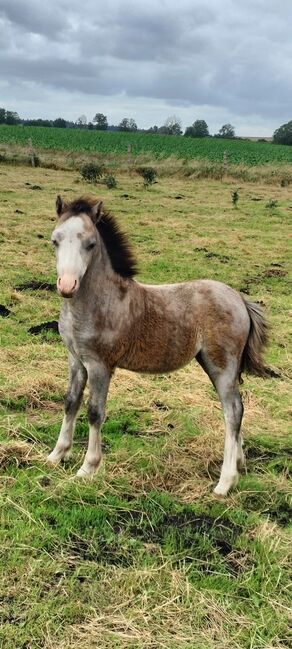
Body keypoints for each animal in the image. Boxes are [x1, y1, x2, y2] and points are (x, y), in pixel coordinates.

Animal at [46, 195, 274, 494]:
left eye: (91, 244)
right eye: (55, 240)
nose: (67, 285)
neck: (99, 302)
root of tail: (239, 299)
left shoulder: (100, 365)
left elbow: (95, 412)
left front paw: (87, 469)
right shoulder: (76, 360)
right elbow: (70, 402)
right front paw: (56, 455)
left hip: (222, 365)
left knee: (232, 411)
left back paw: (225, 483)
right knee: (237, 409)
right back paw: (238, 463)